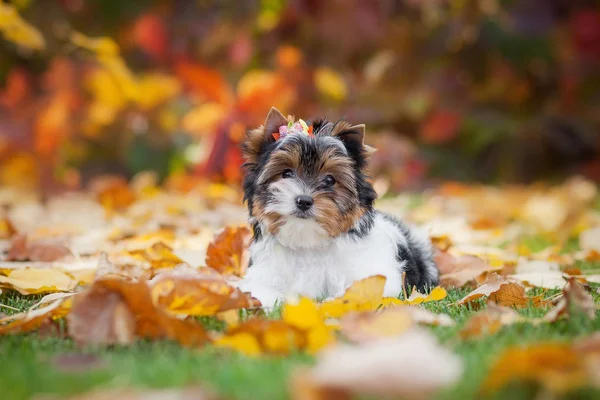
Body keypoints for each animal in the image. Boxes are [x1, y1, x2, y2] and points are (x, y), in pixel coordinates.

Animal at [237, 106, 438, 306]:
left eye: (329, 180)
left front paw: (333, 302)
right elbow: (257, 291)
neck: (308, 242)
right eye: (286, 173)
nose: (303, 200)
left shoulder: (375, 277)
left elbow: (359, 292)